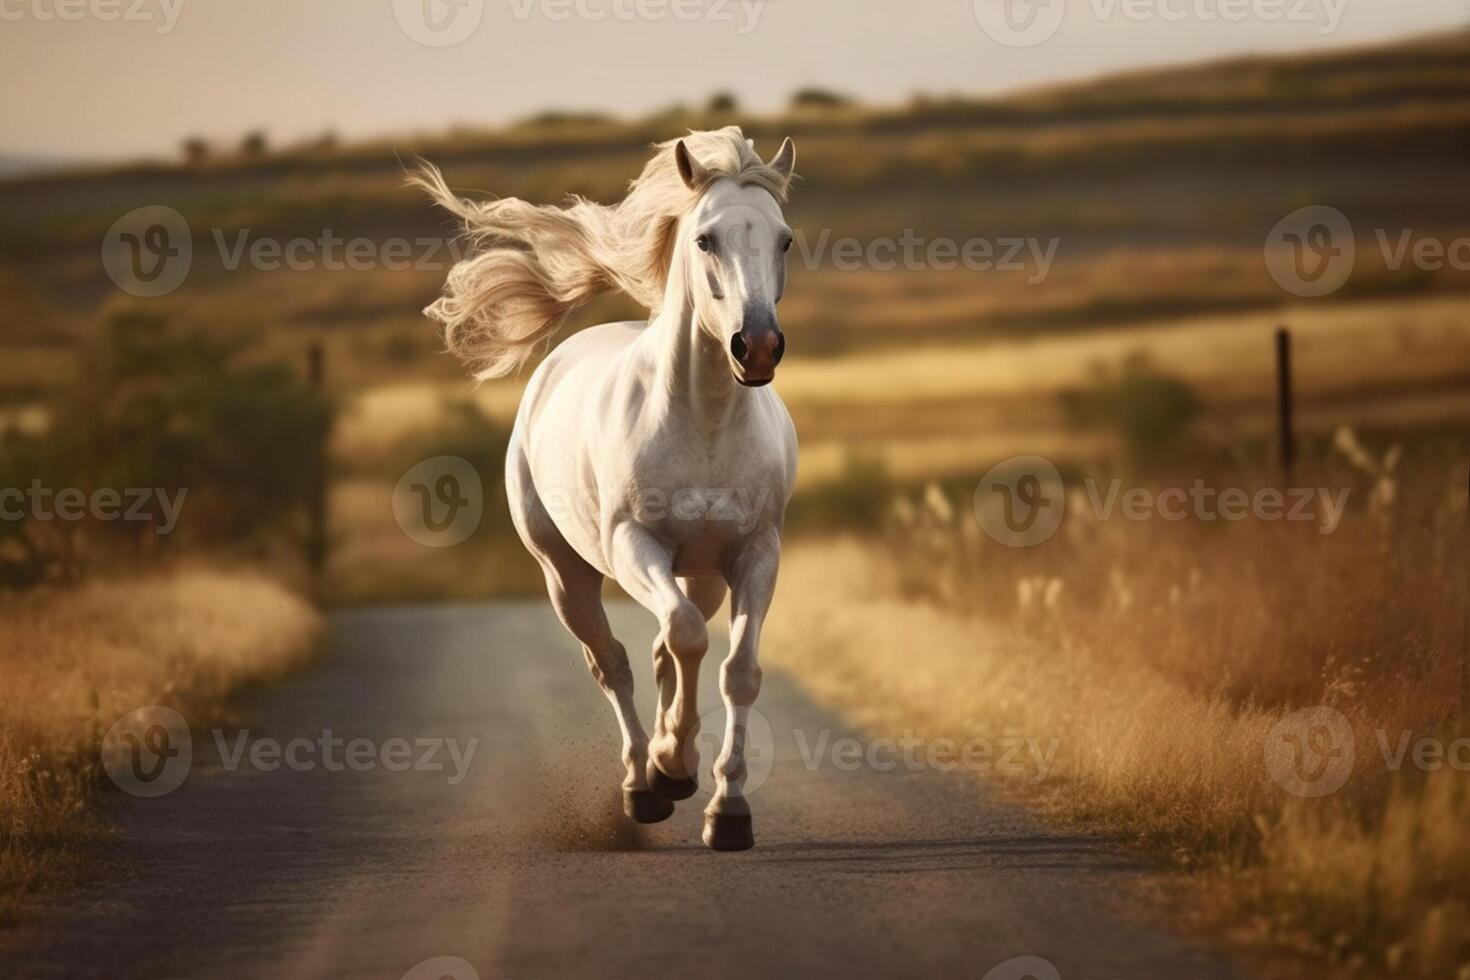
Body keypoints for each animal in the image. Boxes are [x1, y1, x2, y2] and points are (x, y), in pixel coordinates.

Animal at [420, 128, 799, 852]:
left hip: (701, 573)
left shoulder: (755, 555)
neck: (704, 424)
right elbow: (684, 638)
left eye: (784, 239)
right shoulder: (633, 544)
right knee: (614, 662)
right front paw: (672, 768)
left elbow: (736, 670)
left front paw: (728, 810)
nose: (757, 347)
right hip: (566, 575)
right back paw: (643, 787)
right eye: (705, 238)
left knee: (659, 650)